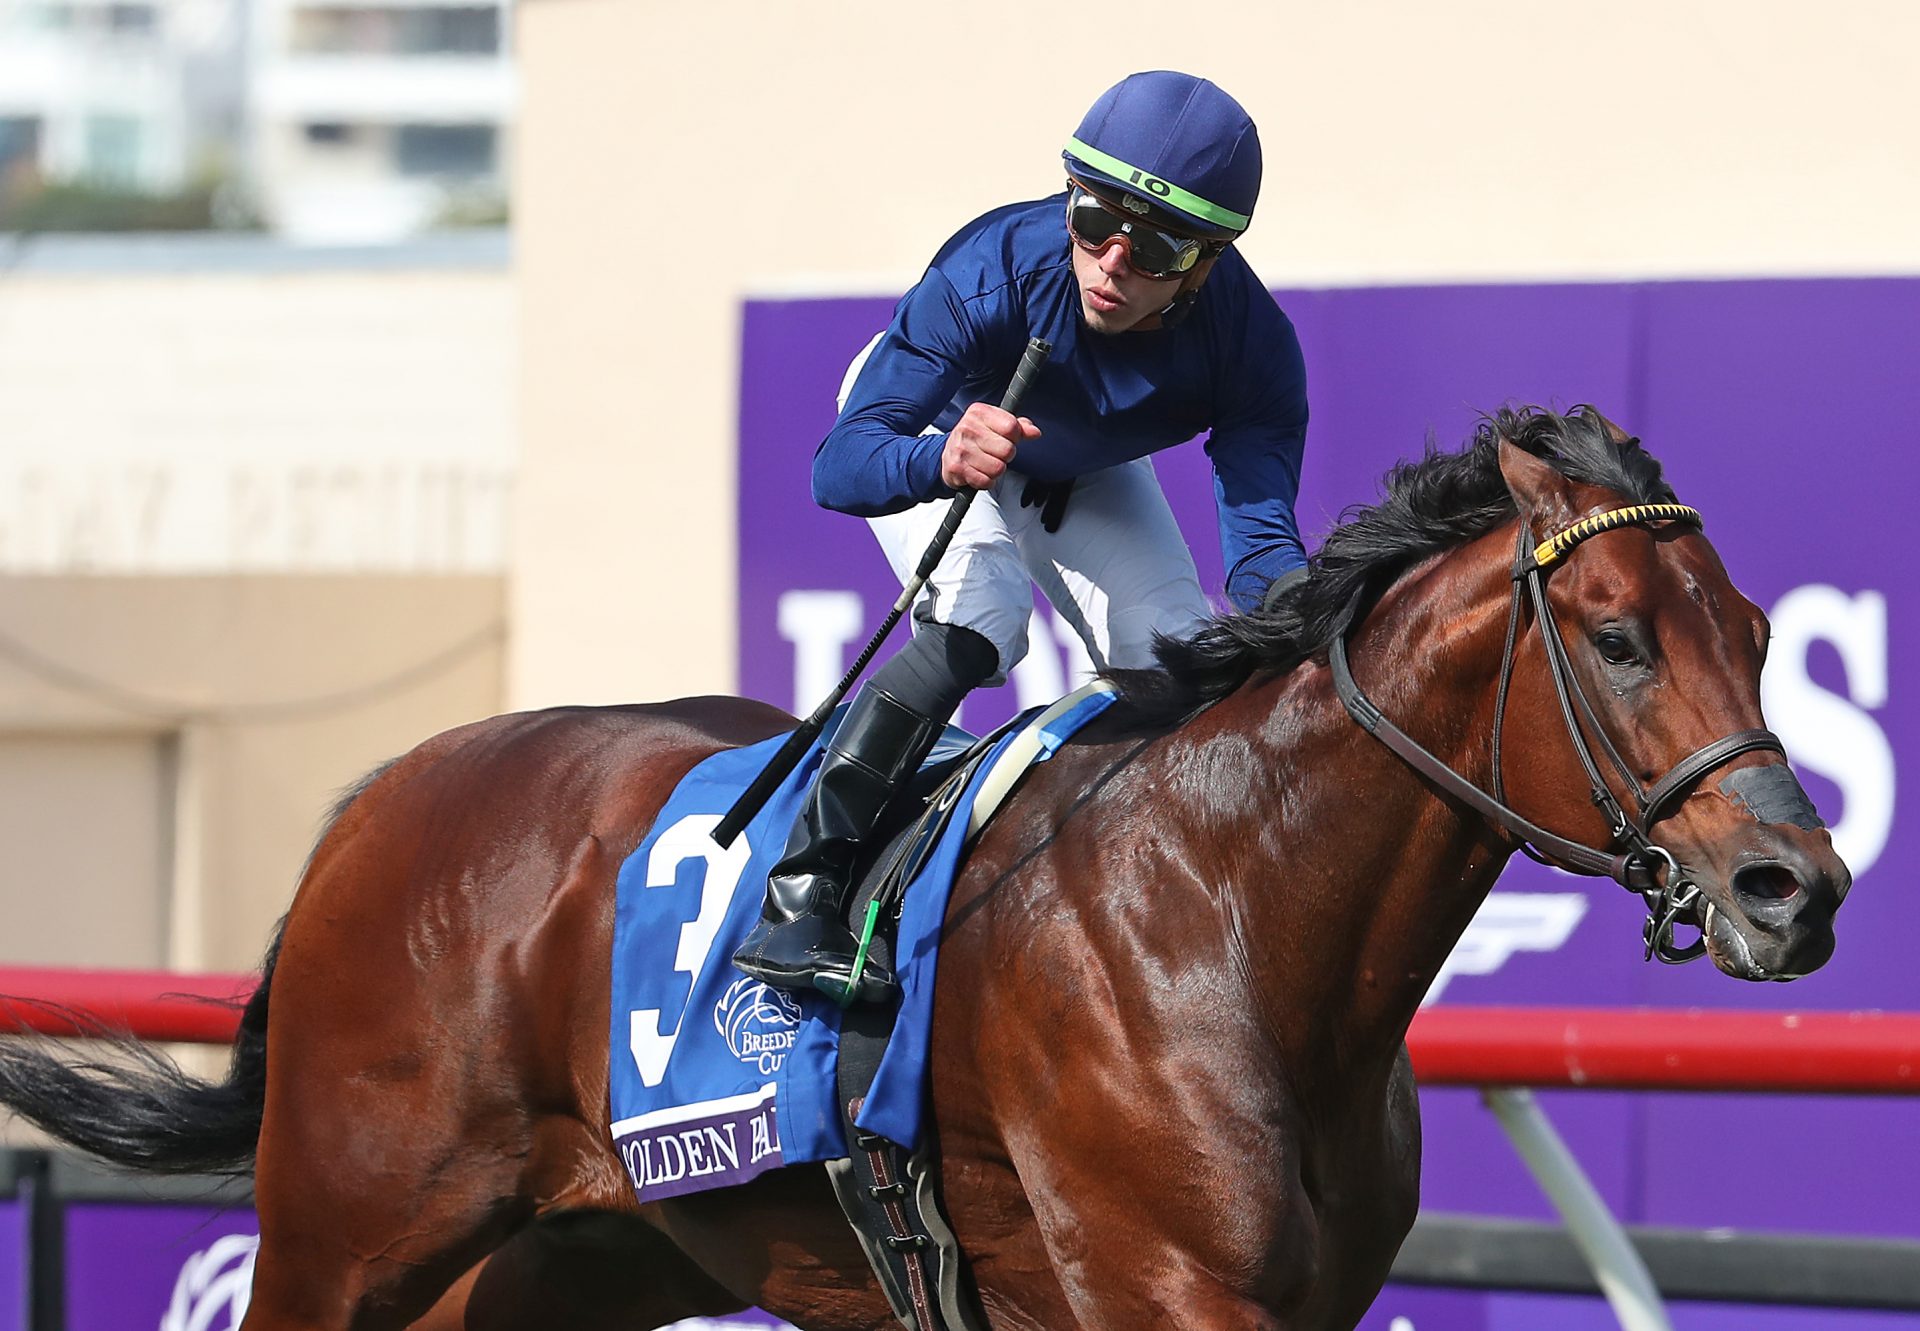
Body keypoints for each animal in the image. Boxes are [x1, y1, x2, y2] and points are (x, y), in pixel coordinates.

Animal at [0, 407, 1843, 1329]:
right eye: (1615, 636)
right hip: (344, 1233)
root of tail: (377, 796)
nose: (1796, 888)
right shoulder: (1166, 1288)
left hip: (579, 1258)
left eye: (1762, 634)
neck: (1238, 914)